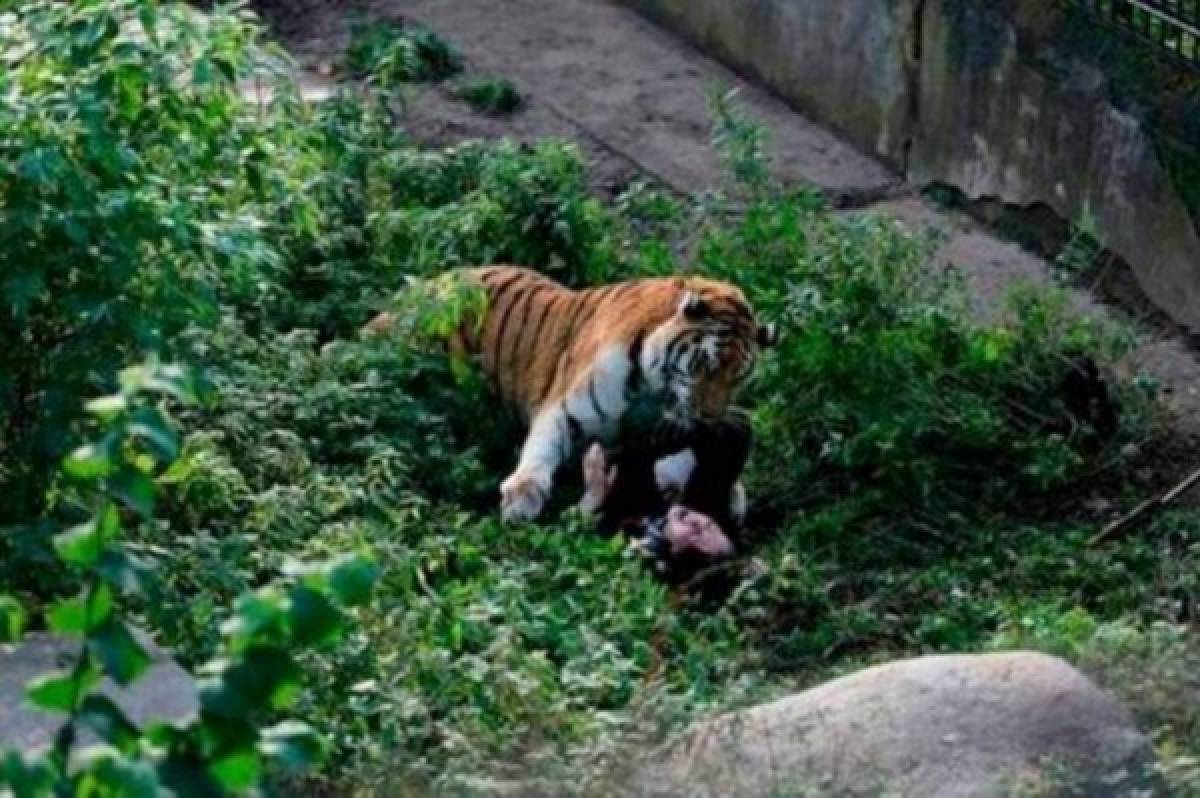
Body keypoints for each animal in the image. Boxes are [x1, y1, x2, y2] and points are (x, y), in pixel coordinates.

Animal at [364, 264, 777, 520]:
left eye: (738, 378)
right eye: (706, 365)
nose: (709, 418)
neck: (655, 390)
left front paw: (731, 493)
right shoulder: (565, 408)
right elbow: (541, 449)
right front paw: (523, 495)